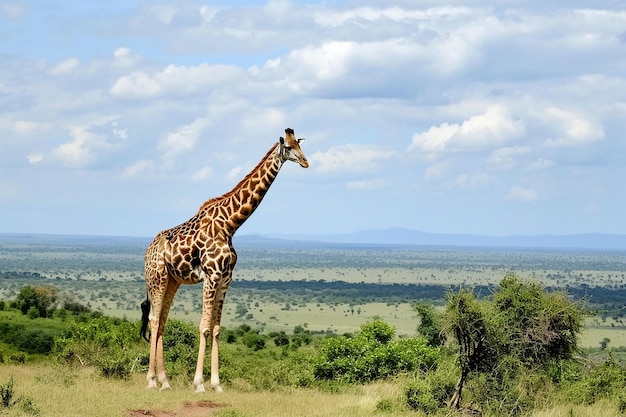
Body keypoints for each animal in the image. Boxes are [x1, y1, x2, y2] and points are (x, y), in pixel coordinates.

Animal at [140, 126, 308, 390]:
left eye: (301, 145)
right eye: (289, 147)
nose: (305, 162)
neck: (230, 225)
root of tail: (148, 250)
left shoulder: (226, 279)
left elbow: (217, 328)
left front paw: (216, 384)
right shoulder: (211, 275)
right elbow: (204, 327)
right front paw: (199, 383)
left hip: (173, 281)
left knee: (162, 322)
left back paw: (165, 382)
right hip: (156, 278)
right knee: (155, 319)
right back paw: (151, 381)